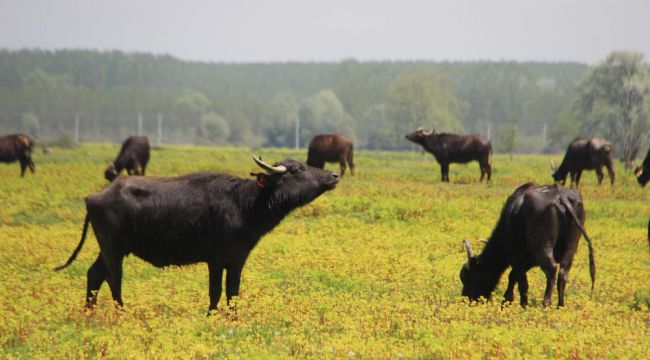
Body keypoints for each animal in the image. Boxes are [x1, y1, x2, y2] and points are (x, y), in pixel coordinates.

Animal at [55, 155, 340, 312]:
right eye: (297, 169)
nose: (334, 175)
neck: (244, 204)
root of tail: (94, 196)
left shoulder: (237, 260)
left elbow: (233, 293)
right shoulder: (215, 260)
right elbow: (215, 292)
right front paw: (211, 316)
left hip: (111, 249)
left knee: (94, 275)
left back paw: (89, 312)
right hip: (112, 248)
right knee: (114, 280)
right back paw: (121, 312)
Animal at [458, 184, 596, 308]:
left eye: (466, 277)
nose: (465, 299)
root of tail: (559, 196)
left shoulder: (516, 257)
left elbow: (520, 281)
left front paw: (521, 303)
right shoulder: (529, 261)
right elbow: (513, 276)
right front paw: (507, 300)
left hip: (543, 247)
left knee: (551, 268)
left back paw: (546, 302)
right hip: (571, 246)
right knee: (563, 272)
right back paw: (560, 305)